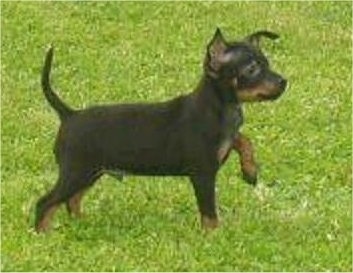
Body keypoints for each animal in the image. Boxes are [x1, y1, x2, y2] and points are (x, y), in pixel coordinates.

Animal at [35, 27, 286, 232]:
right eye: (252, 69)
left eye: (267, 64)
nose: (284, 82)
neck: (221, 107)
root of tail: (69, 114)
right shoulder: (203, 174)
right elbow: (209, 212)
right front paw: (213, 237)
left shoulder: (227, 139)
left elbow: (242, 139)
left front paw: (250, 170)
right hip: (76, 171)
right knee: (46, 202)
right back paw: (43, 234)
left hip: (91, 172)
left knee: (71, 200)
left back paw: (82, 224)